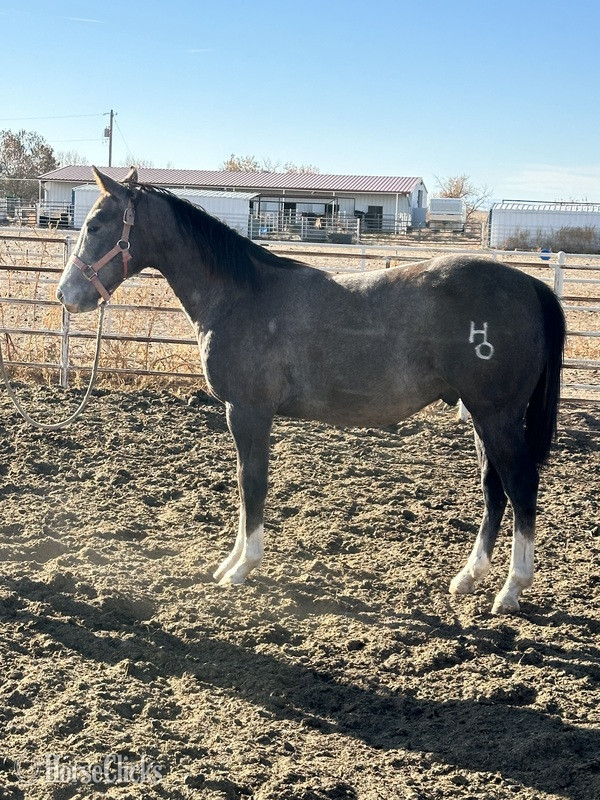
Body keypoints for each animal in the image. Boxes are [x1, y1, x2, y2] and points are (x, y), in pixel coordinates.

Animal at [56, 168, 566, 615]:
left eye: (95, 224)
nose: (66, 295)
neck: (240, 296)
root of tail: (530, 285)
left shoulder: (247, 412)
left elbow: (252, 483)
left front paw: (243, 567)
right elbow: (245, 484)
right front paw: (229, 562)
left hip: (497, 416)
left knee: (521, 485)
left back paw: (511, 589)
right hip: (481, 416)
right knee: (494, 489)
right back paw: (469, 577)